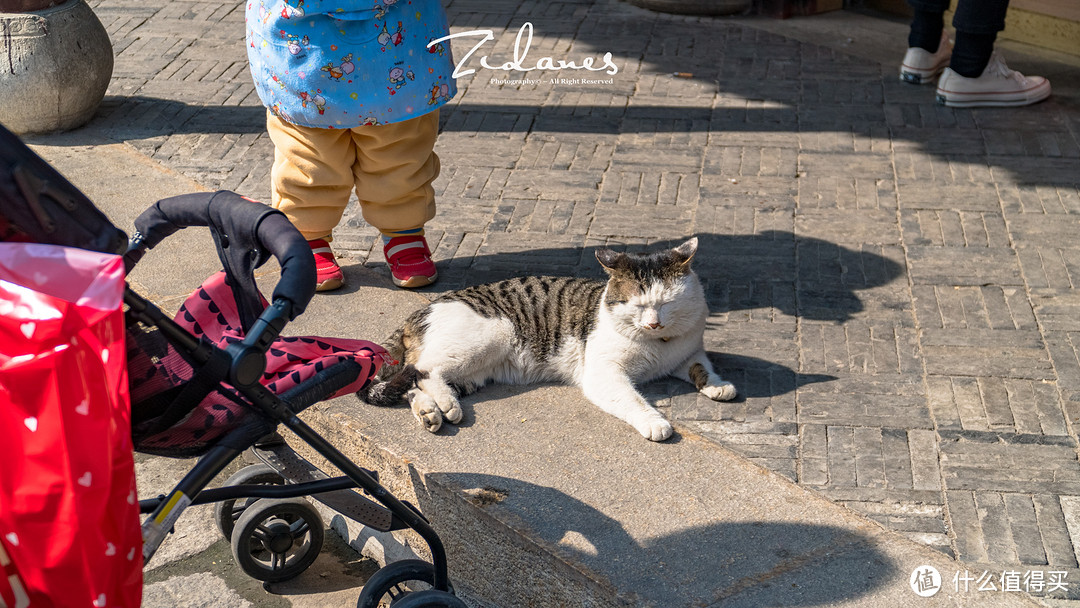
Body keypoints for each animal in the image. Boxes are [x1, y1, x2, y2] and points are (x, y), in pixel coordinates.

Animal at [360, 237, 734, 442]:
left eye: (666, 303)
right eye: (637, 305)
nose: (654, 323)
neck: (660, 346)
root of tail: (423, 309)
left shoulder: (690, 351)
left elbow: (701, 367)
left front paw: (718, 386)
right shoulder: (604, 374)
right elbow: (633, 400)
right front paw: (655, 422)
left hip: (471, 374)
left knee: (411, 382)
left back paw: (431, 412)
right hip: (490, 336)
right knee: (423, 371)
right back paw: (446, 407)